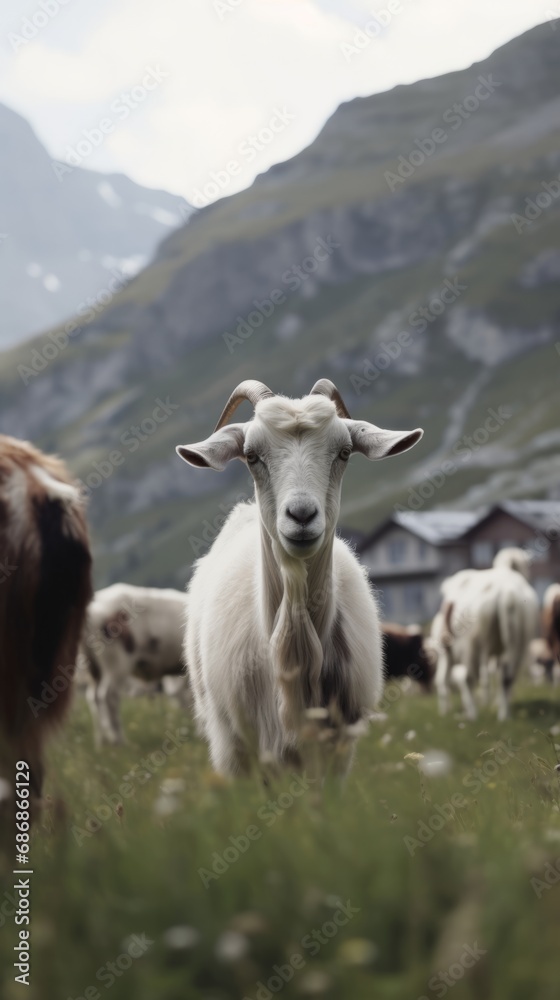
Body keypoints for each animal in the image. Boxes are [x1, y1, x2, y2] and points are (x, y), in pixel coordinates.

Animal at [80, 583, 188, 745]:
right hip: (117, 664)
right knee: (108, 696)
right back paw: (119, 741)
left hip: (93, 668)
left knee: (93, 698)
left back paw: (102, 742)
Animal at [431, 548, 538, 720]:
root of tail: (506, 591)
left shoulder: (448, 652)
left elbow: (443, 680)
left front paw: (446, 711)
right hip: (519, 644)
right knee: (507, 677)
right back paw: (503, 714)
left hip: (470, 646)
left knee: (466, 678)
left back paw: (472, 715)